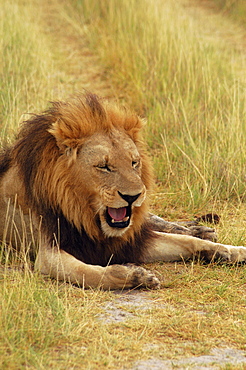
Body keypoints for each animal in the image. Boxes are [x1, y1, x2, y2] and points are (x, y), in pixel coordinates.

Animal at [0, 92, 246, 290]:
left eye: (134, 163)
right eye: (104, 166)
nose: (133, 196)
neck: (87, 217)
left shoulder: (133, 240)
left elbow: (187, 242)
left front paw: (229, 251)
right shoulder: (48, 253)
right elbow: (89, 273)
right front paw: (137, 276)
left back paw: (202, 229)